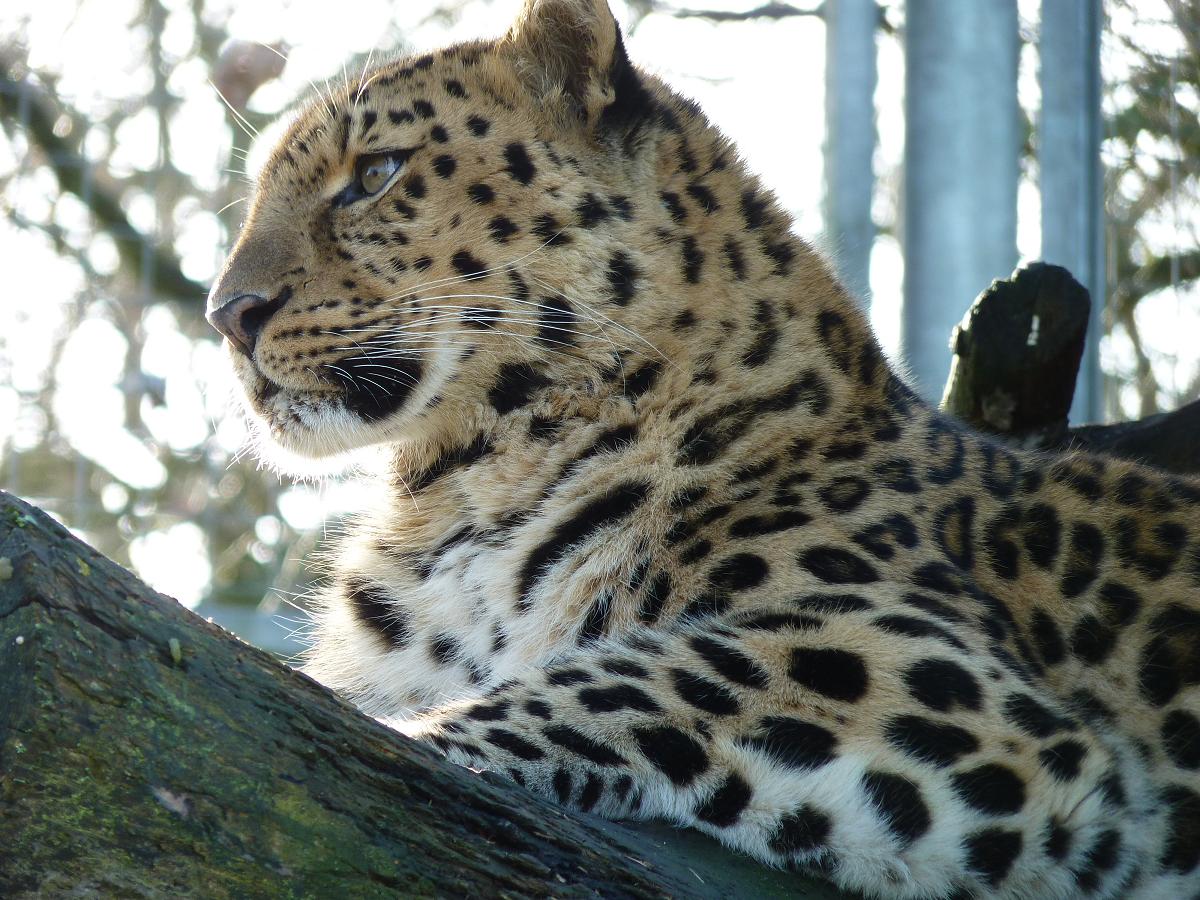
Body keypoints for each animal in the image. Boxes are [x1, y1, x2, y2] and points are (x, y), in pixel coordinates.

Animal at [205, 1, 1200, 896]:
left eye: (376, 173)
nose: (227, 314)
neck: (456, 496)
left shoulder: (928, 661)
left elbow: (633, 676)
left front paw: (422, 737)